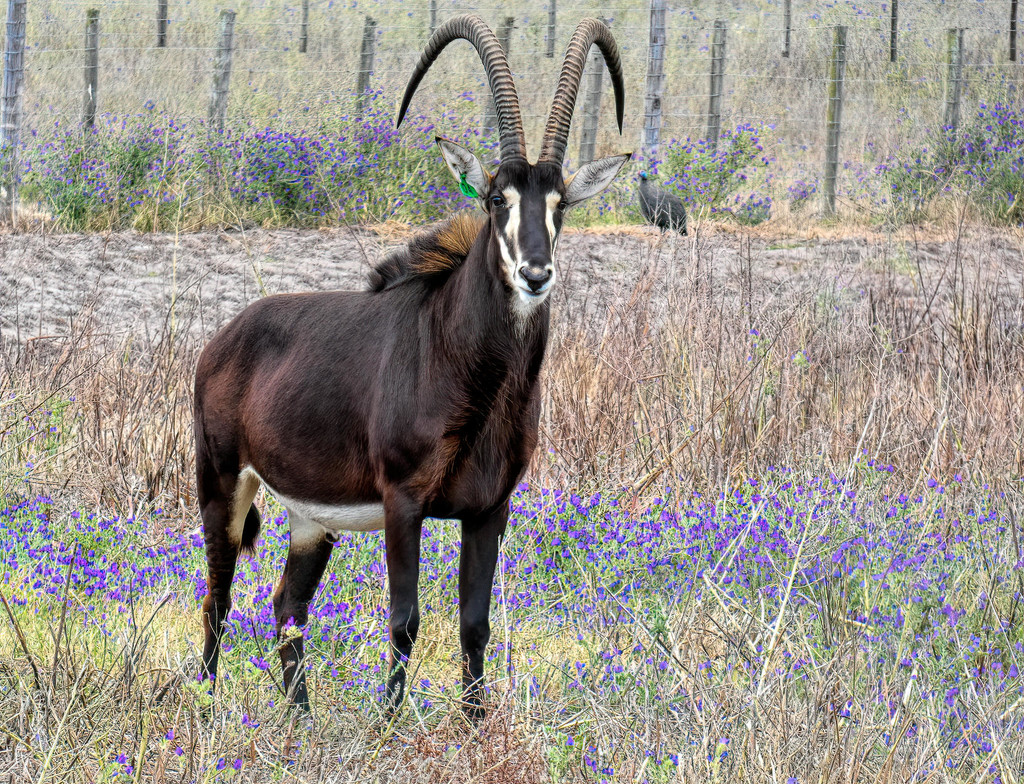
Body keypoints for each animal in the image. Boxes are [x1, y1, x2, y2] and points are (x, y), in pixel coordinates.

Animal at [189, 13, 626, 720]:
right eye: (495, 199)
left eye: (561, 202)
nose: (535, 273)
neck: (472, 375)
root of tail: (222, 342)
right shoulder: (403, 503)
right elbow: (405, 620)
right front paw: (390, 726)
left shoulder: (489, 509)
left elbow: (473, 623)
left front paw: (474, 725)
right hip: (223, 485)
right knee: (218, 598)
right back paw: (205, 709)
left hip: (313, 520)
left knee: (287, 607)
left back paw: (301, 718)